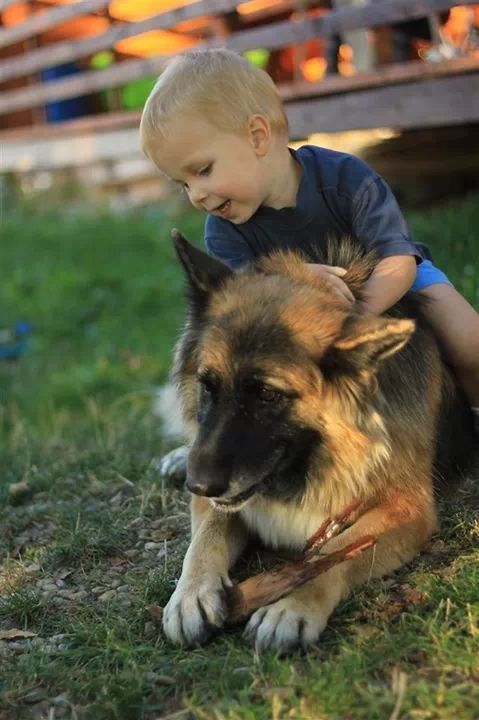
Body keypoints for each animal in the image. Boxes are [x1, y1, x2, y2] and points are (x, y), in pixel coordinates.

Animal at [162, 232, 476, 652]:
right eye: (208, 385)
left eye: (268, 394)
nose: (197, 483)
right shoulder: (221, 496)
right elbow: (205, 536)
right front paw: (191, 594)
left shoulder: (406, 508)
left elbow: (332, 554)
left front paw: (291, 608)